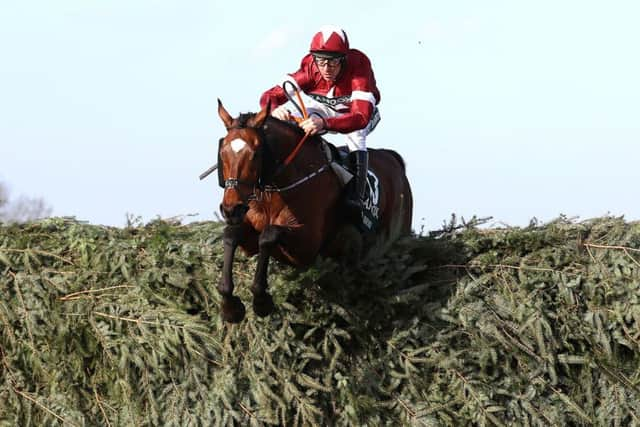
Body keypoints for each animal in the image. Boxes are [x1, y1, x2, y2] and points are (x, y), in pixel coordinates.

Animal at [215, 99, 416, 320]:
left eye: (255, 154)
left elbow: (268, 235)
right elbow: (231, 235)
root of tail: (394, 160)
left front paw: (261, 300)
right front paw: (229, 305)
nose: (231, 208)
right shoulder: (249, 239)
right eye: (222, 152)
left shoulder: (306, 248)